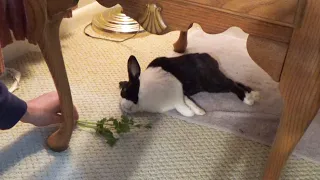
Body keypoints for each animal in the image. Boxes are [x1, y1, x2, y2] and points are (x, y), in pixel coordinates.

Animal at [119, 52, 258, 116]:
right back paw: (254, 94)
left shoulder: (175, 90)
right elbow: (187, 102)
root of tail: (209, 58)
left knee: (231, 85)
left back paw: (248, 99)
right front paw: (199, 111)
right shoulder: (181, 94)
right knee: (233, 81)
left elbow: (182, 108)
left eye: (125, 91)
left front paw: (194, 113)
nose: (123, 107)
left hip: (212, 84)